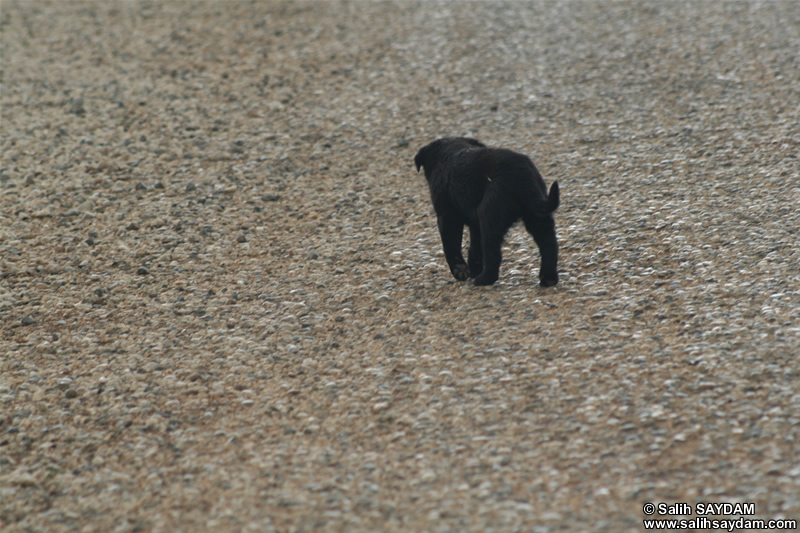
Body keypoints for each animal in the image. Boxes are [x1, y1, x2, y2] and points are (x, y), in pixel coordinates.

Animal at [416, 137, 560, 286]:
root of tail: (522, 173)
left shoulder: (447, 216)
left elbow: (451, 244)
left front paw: (460, 270)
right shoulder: (474, 222)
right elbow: (475, 247)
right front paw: (474, 268)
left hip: (490, 215)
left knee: (492, 251)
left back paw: (483, 279)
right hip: (537, 216)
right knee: (549, 243)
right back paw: (548, 278)